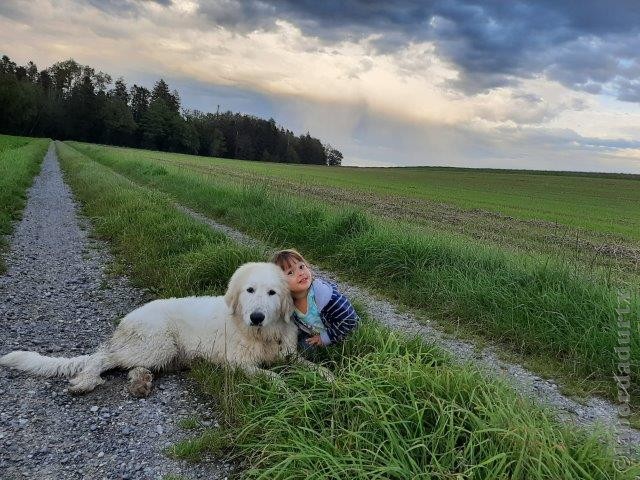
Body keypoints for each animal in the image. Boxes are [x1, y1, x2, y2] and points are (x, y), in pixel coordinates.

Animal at [0, 264, 330, 396]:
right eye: (250, 290)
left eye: (272, 293)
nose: (257, 316)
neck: (261, 335)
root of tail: (127, 320)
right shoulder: (237, 364)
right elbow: (270, 376)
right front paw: (286, 388)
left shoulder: (287, 355)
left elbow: (309, 366)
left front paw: (329, 379)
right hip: (158, 344)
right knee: (103, 358)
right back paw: (86, 381)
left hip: (159, 353)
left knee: (129, 366)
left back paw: (140, 383)